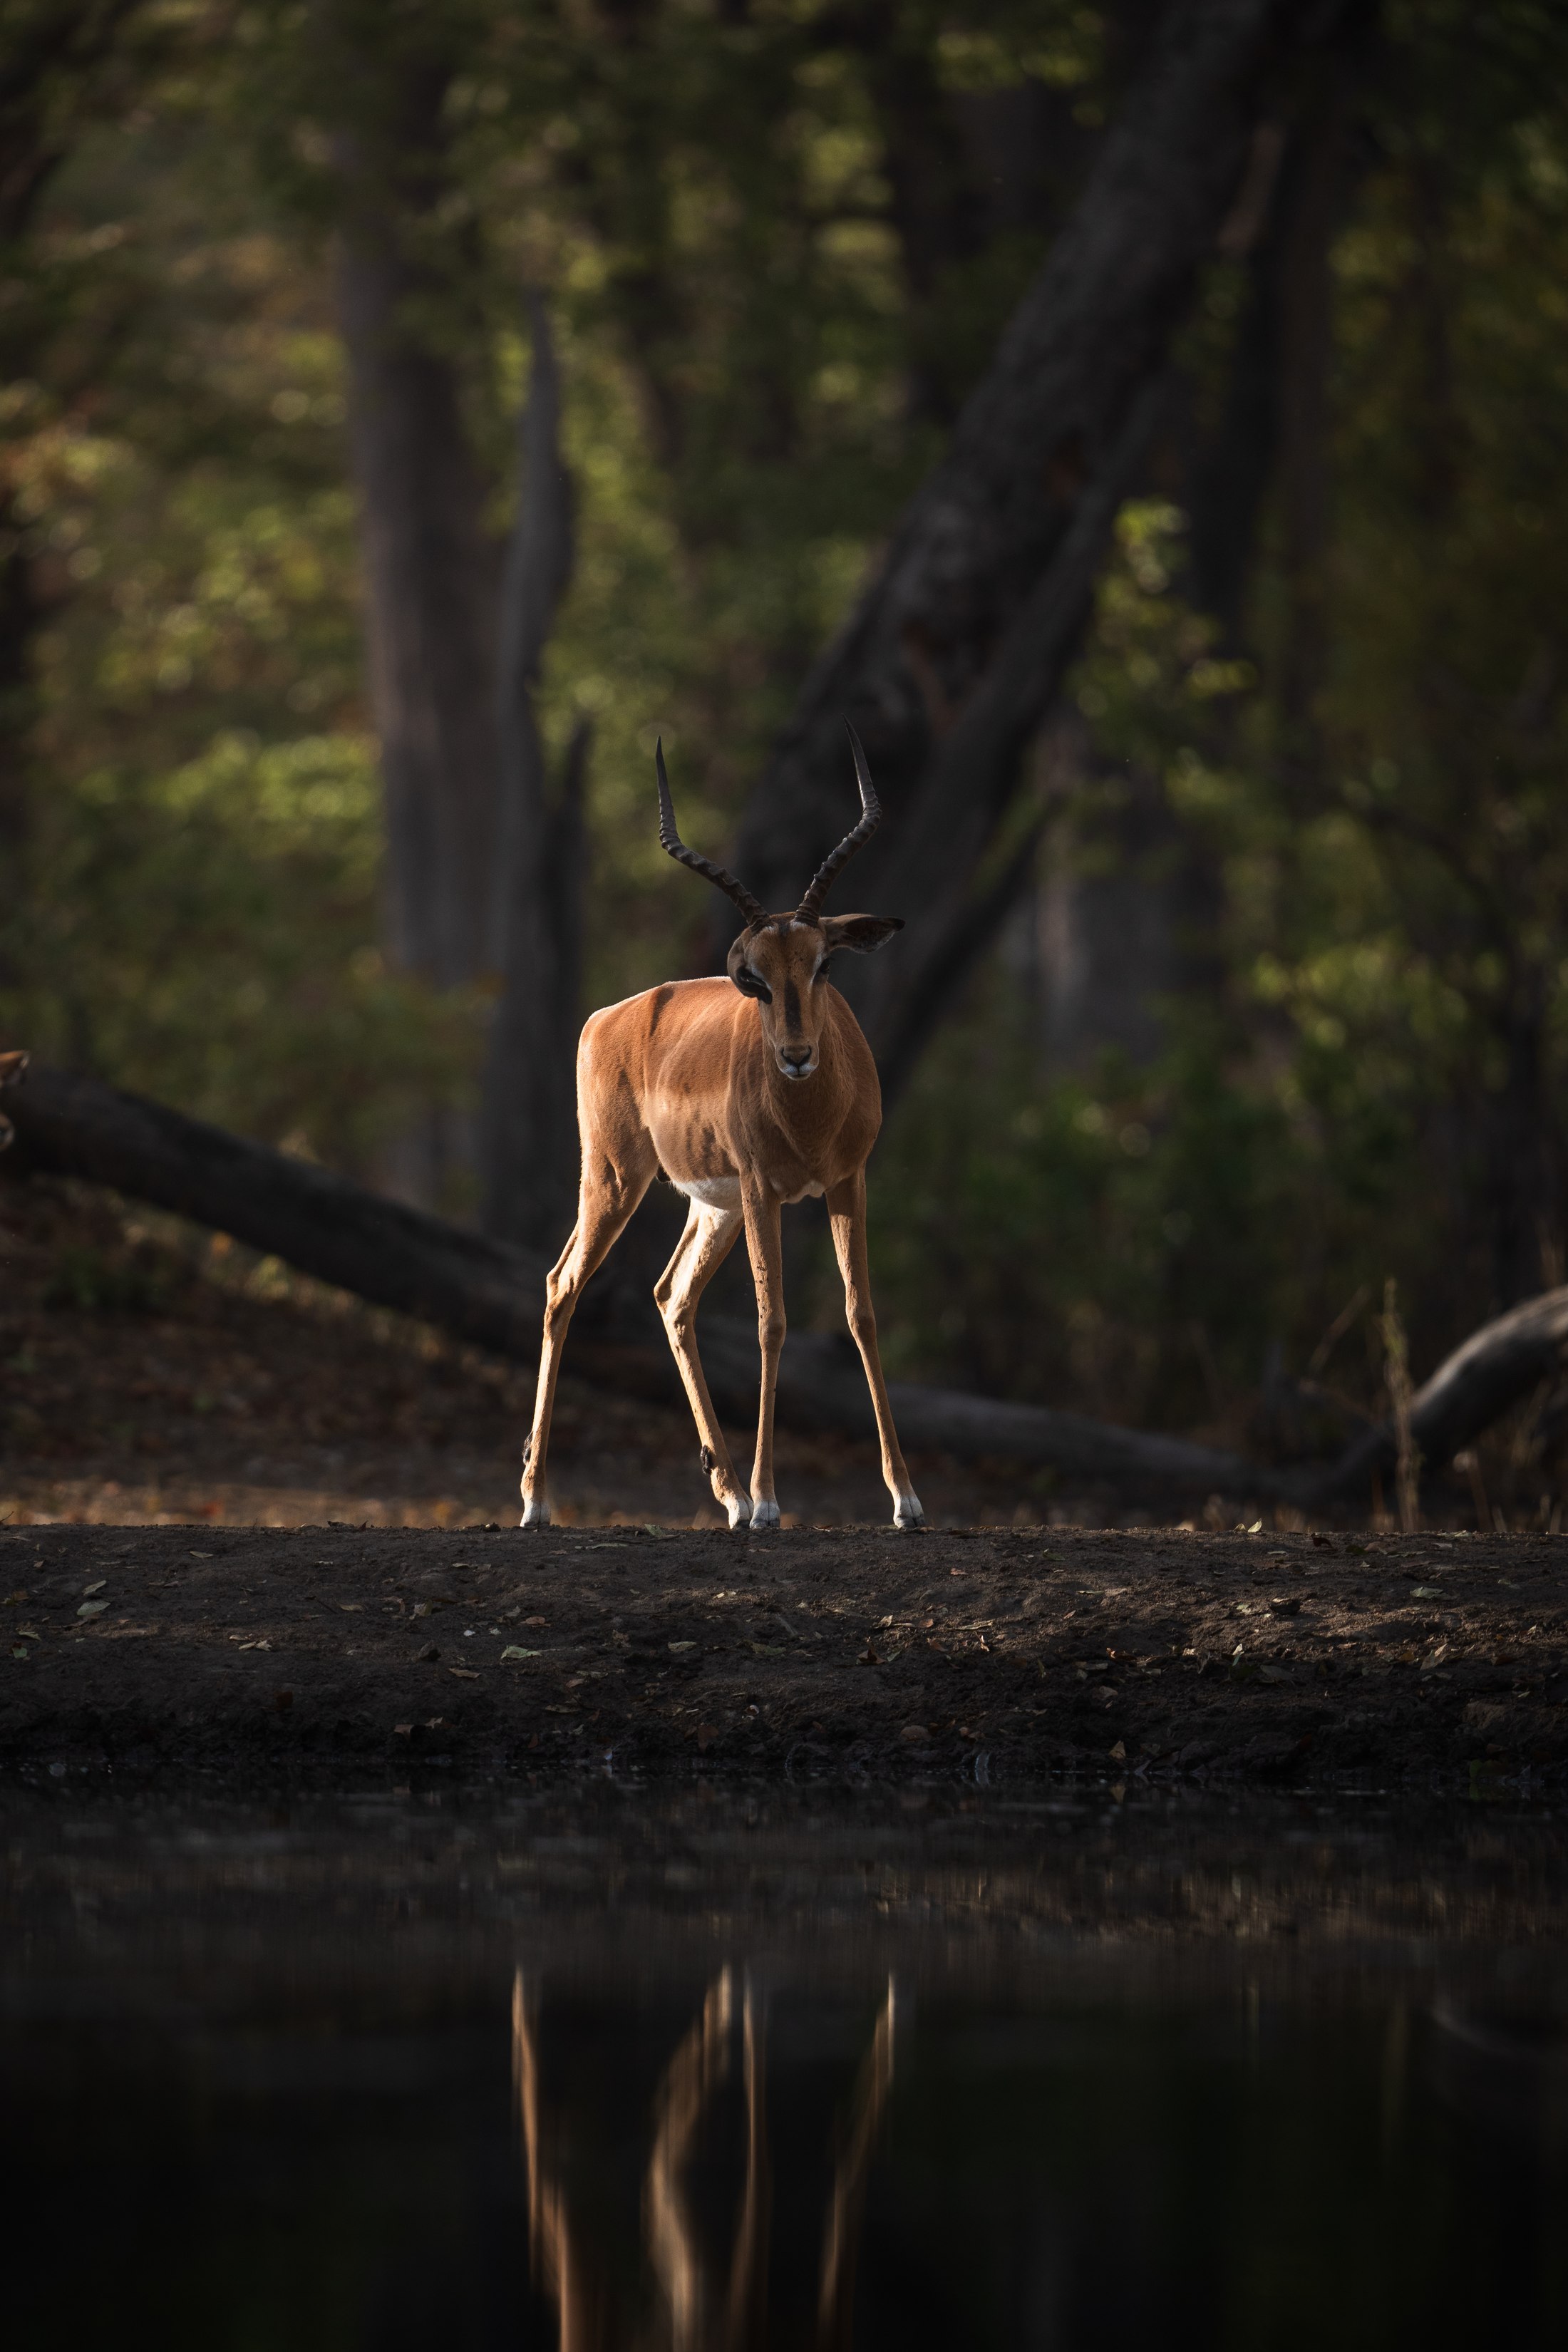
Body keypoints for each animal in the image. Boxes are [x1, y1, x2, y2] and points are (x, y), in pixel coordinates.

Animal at [520, 726, 923, 1532]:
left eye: (823, 965)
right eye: (753, 979)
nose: (796, 1055)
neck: (809, 1115)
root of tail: (606, 1016)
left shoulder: (847, 1181)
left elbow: (860, 1314)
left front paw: (905, 1498)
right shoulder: (768, 1189)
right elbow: (772, 1322)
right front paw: (771, 1501)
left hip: (713, 1206)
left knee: (671, 1297)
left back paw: (728, 1494)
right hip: (617, 1180)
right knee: (562, 1284)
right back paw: (538, 1502)